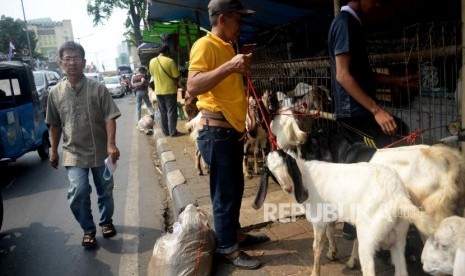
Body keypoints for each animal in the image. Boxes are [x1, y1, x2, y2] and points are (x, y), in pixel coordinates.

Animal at [256, 150, 436, 276]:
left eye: (286, 163)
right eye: (270, 170)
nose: (287, 187)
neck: (305, 175)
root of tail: (397, 195)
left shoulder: (318, 219)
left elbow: (316, 247)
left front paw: (315, 272)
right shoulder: (329, 215)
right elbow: (330, 233)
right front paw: (332, 253)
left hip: (369, 237)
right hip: (398, 236)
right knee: (401, 270)